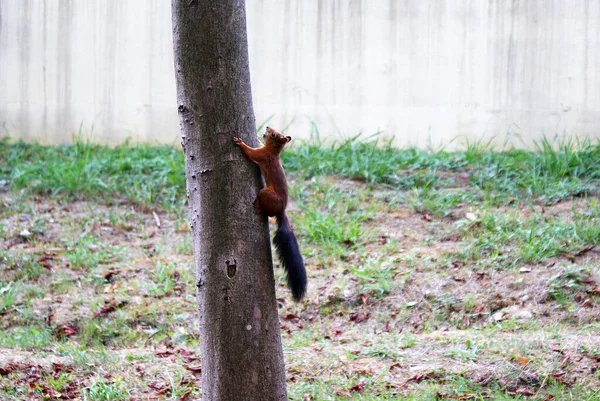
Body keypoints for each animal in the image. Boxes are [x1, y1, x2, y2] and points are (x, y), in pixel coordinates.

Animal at [233, 126, 308, 300]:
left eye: (274, 134)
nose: (267, 127)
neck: (273, 151)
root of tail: (281, 210)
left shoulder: (262, 155)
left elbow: (251, 153)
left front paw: (240, 143)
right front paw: (257, 137)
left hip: (266, 193)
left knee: (269, 212)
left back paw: (260, 208)